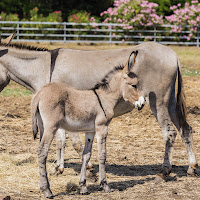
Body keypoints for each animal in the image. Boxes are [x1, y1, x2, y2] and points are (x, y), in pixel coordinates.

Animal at [30, 50, 144, 198]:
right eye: (134, 85)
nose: (142, 104)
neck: (105, 98)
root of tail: (39, 93)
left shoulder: (90, 131)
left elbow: (86, 155)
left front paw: (83, 186)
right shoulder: (102, 128)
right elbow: (102, 155)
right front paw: (105, 185)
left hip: (43, 126)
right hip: (51, 127)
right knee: (42, 152)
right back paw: (47, 190)